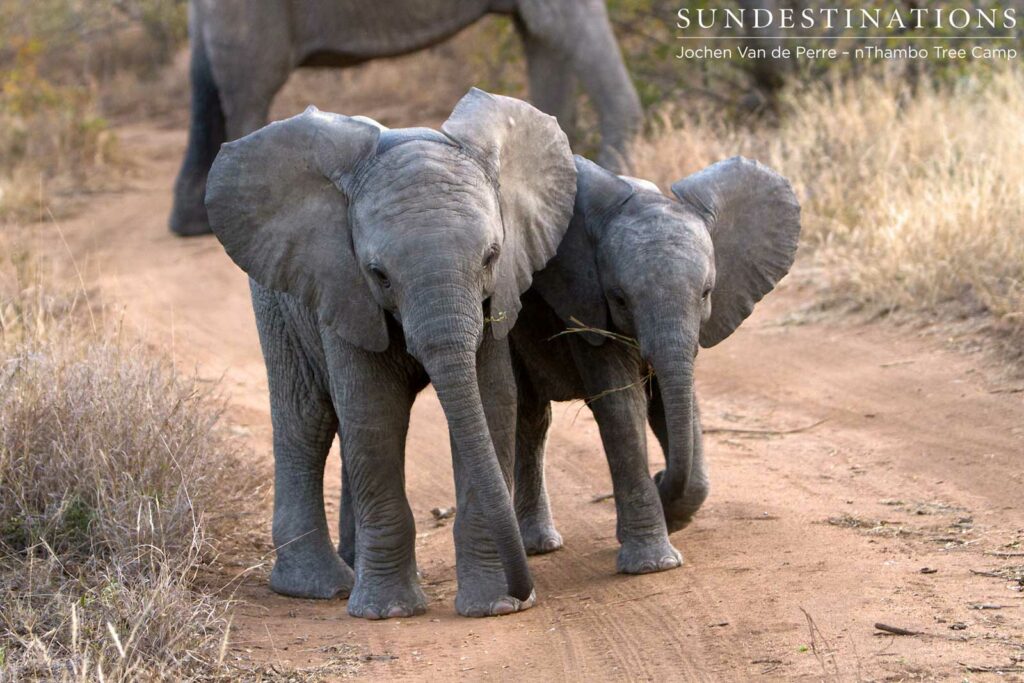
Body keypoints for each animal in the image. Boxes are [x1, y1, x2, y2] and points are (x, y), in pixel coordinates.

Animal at [172, 0, 642, 237]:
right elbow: (557, 25)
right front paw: (617, 178)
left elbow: (542, 38)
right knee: (249, 91)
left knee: (206, 86)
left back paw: (191, 225)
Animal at [203, 88, 577, 619]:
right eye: (378, 273)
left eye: (491, 256)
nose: (523, 591)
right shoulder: (343, 286)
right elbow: (374, 413)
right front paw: (389, 612)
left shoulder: (498, 297)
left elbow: (492, 403)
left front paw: (494, 607)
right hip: (277, 298)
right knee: (306, 420)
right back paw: (320, 586)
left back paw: (350, 564)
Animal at [508, 155, 801, 572]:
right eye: (620, 299)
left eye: (707, 293)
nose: (661, 476)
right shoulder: (586, 305)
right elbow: (622, 408)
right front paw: (653, 564)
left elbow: (672, 402)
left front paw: (672, 515)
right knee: (528, 415)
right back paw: (539, 546)